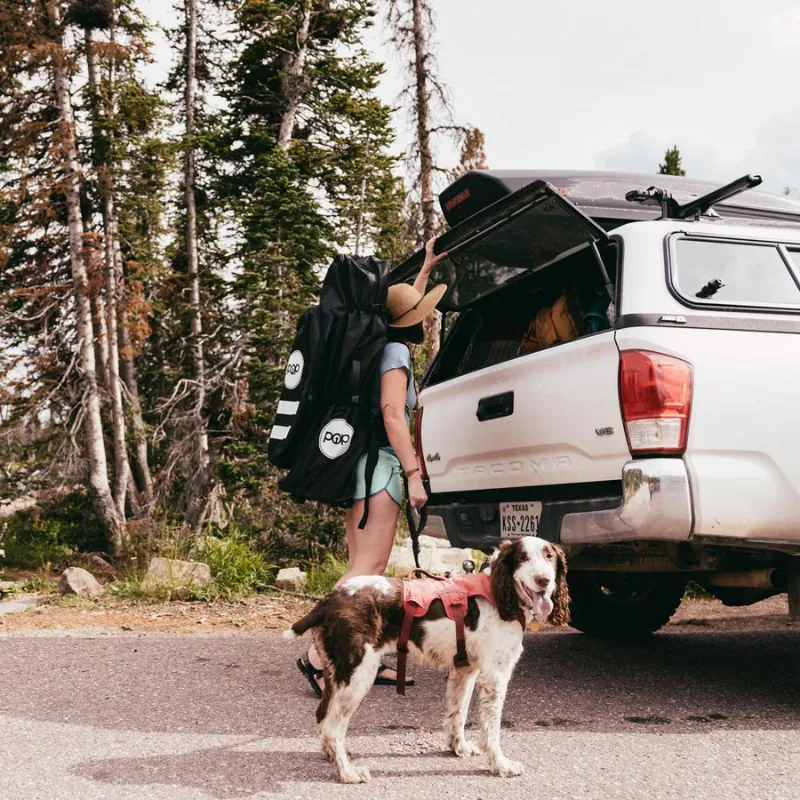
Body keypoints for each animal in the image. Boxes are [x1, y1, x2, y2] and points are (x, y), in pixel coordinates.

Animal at [282, 536, 568, 784]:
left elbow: (458, 714)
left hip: (337, 674)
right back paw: (347, 773)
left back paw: (333, 756)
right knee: (333, 726)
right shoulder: (495, 677)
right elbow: (491, 729)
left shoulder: (465, 670)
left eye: (549, 556)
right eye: (522, 557)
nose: (544, 580)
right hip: (357, 674)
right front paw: (501, 765)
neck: (498, 594)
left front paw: (459, 748)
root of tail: (328, 602)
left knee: (322, 716)